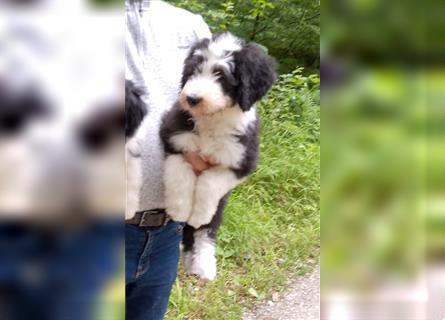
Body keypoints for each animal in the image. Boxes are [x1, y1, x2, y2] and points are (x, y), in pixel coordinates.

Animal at [160, 31, 278, 278]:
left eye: (220, 75)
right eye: (194, 70)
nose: (192, 98)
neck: (212, 120)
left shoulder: (241, 161)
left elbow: (209, 183)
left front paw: (197, 214)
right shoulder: (173, 139)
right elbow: (180, 176)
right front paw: (180, 209)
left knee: (206, 230)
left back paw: (204, 264)